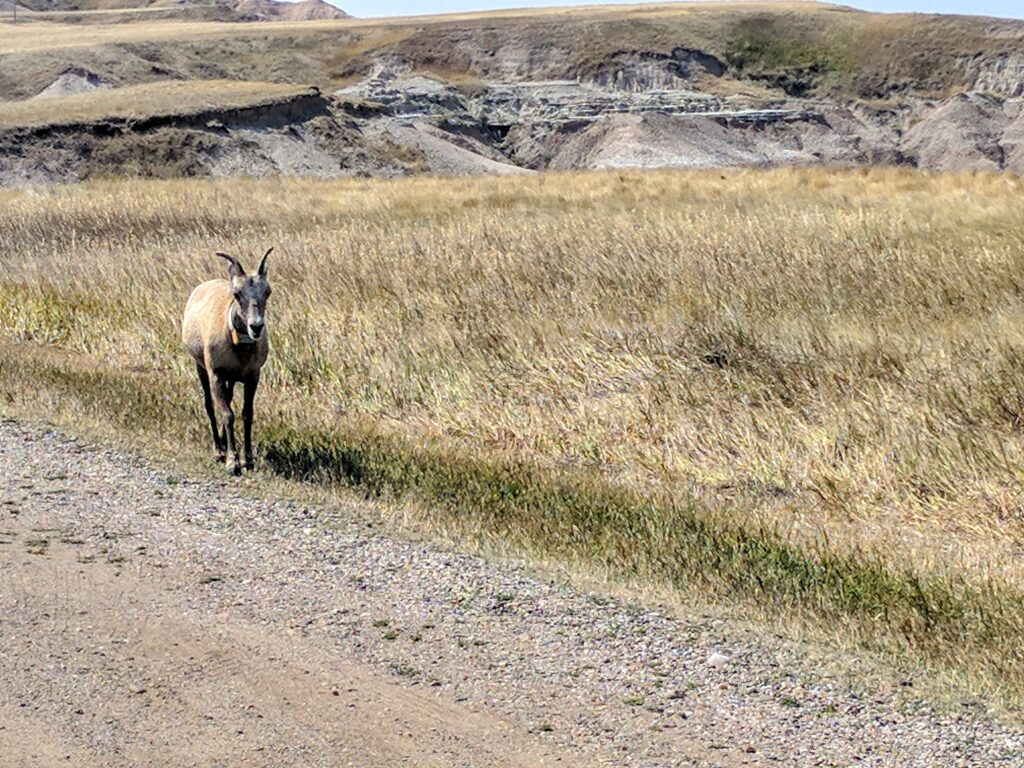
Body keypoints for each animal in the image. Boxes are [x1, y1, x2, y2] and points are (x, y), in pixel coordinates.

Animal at [183, 249, 272, 475]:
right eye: (237, 293)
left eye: (267, 292)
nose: (256, 327)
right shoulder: (216, 375)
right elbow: (227, 414)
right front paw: (232, 462)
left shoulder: (252, 377)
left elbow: (246, 414)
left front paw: (248, 461)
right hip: (201, 369)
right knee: (210, 405)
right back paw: (219, 450)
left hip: (230, 380)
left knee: (228, 399)